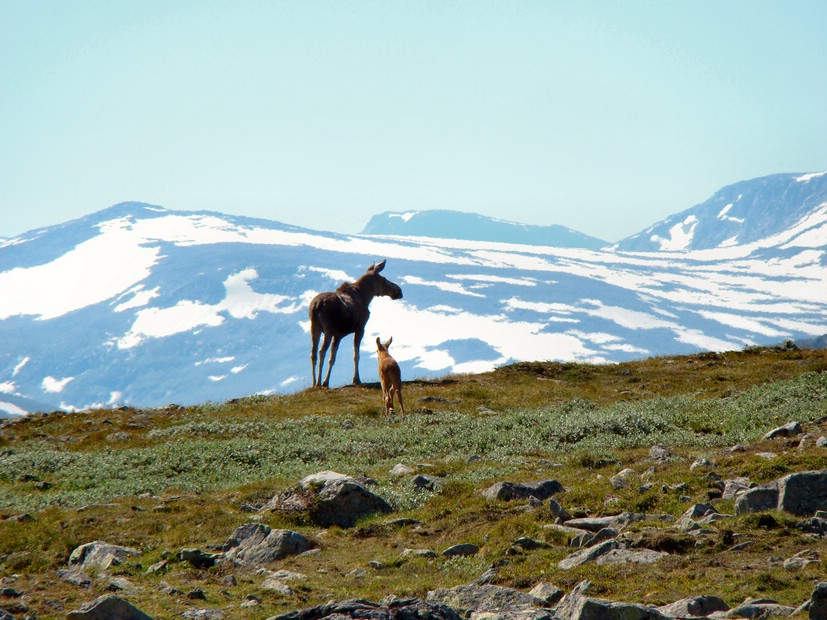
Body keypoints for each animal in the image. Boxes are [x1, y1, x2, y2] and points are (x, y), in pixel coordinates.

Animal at [308, 260, 402, 388]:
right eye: (384, 278)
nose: (399, 291)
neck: (366, 297)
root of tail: (316, 306)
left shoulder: (338, 335)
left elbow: (332, 358)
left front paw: (326, 381)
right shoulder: (360, 328)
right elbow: (356, 355)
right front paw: (356, 379)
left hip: (314, 328)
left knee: (313, 353)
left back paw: (313, 383)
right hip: (328, 330)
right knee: (321, 351)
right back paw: (318, 382)